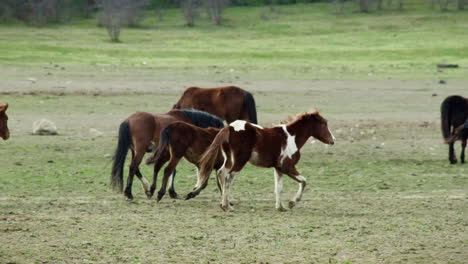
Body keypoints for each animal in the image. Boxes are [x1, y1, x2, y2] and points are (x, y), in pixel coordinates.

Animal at [186, 110, 336, 212]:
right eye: (323, 124)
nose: (333, 140)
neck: (291, 137)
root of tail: (229, 127)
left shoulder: (278, 168)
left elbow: (278, 188)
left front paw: (280, 207)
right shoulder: (287, 166)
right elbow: (304, 181)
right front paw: (292, 202)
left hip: (229, 159)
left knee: (221, 174)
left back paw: (226, 204)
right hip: (240, 160)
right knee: (228, 177)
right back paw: (226, 206)